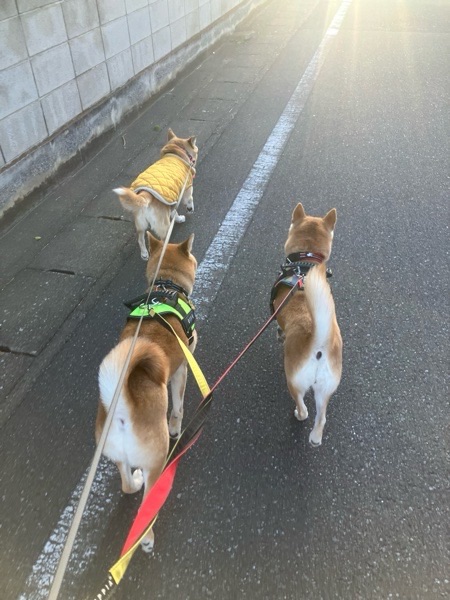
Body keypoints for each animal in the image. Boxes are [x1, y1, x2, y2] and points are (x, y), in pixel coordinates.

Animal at [96, 232, 197, 552]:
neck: (166, 288)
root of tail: (122, 409)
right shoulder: (181, 369)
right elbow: (177, 406)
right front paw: (177, 426)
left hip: (116, 454)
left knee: (127, 484)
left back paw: (135, 481)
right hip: (157, 458)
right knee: (146, 505)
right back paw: (146, 538)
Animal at [114, 128, 198, 260]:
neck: (177, 151)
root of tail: (146, 195)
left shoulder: (171, 201)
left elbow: (174, 212)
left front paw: (179, 218)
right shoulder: (187, 189)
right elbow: (189, 200)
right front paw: (190, 209)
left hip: (140, 223)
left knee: (140, 239)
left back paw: (144, 254)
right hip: (164, 226)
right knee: (162, 243)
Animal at [271, 203, 342, 446]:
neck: (305, 266)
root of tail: (317, 344)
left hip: (294, 382)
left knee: (303, 408)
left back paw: (299, 415)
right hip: (326, 388)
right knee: (321, 418)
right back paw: (315, 439)